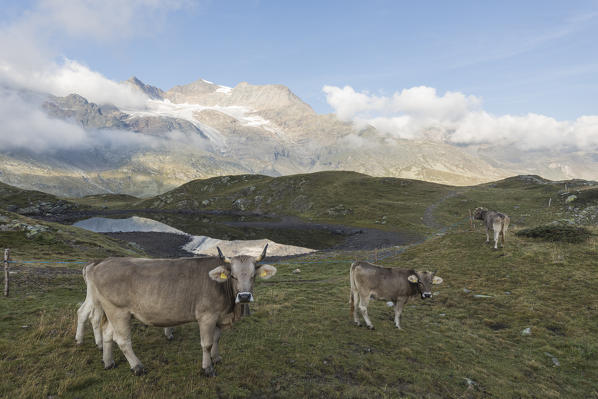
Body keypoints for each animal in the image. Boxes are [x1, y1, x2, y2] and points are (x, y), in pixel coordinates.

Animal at [84, 244, 276, 378]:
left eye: (253, 275)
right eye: (233, 276)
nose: (244, 297)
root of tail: (102, 263)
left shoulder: (218, 316)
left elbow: (216, 339)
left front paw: (216, 359)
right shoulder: (206, 316)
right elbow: (207, 343)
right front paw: (208, 368)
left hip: (112, 311)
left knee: (107, 333)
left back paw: (108, 362)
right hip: (118, 311)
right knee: (122, 340)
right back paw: (137, 367)